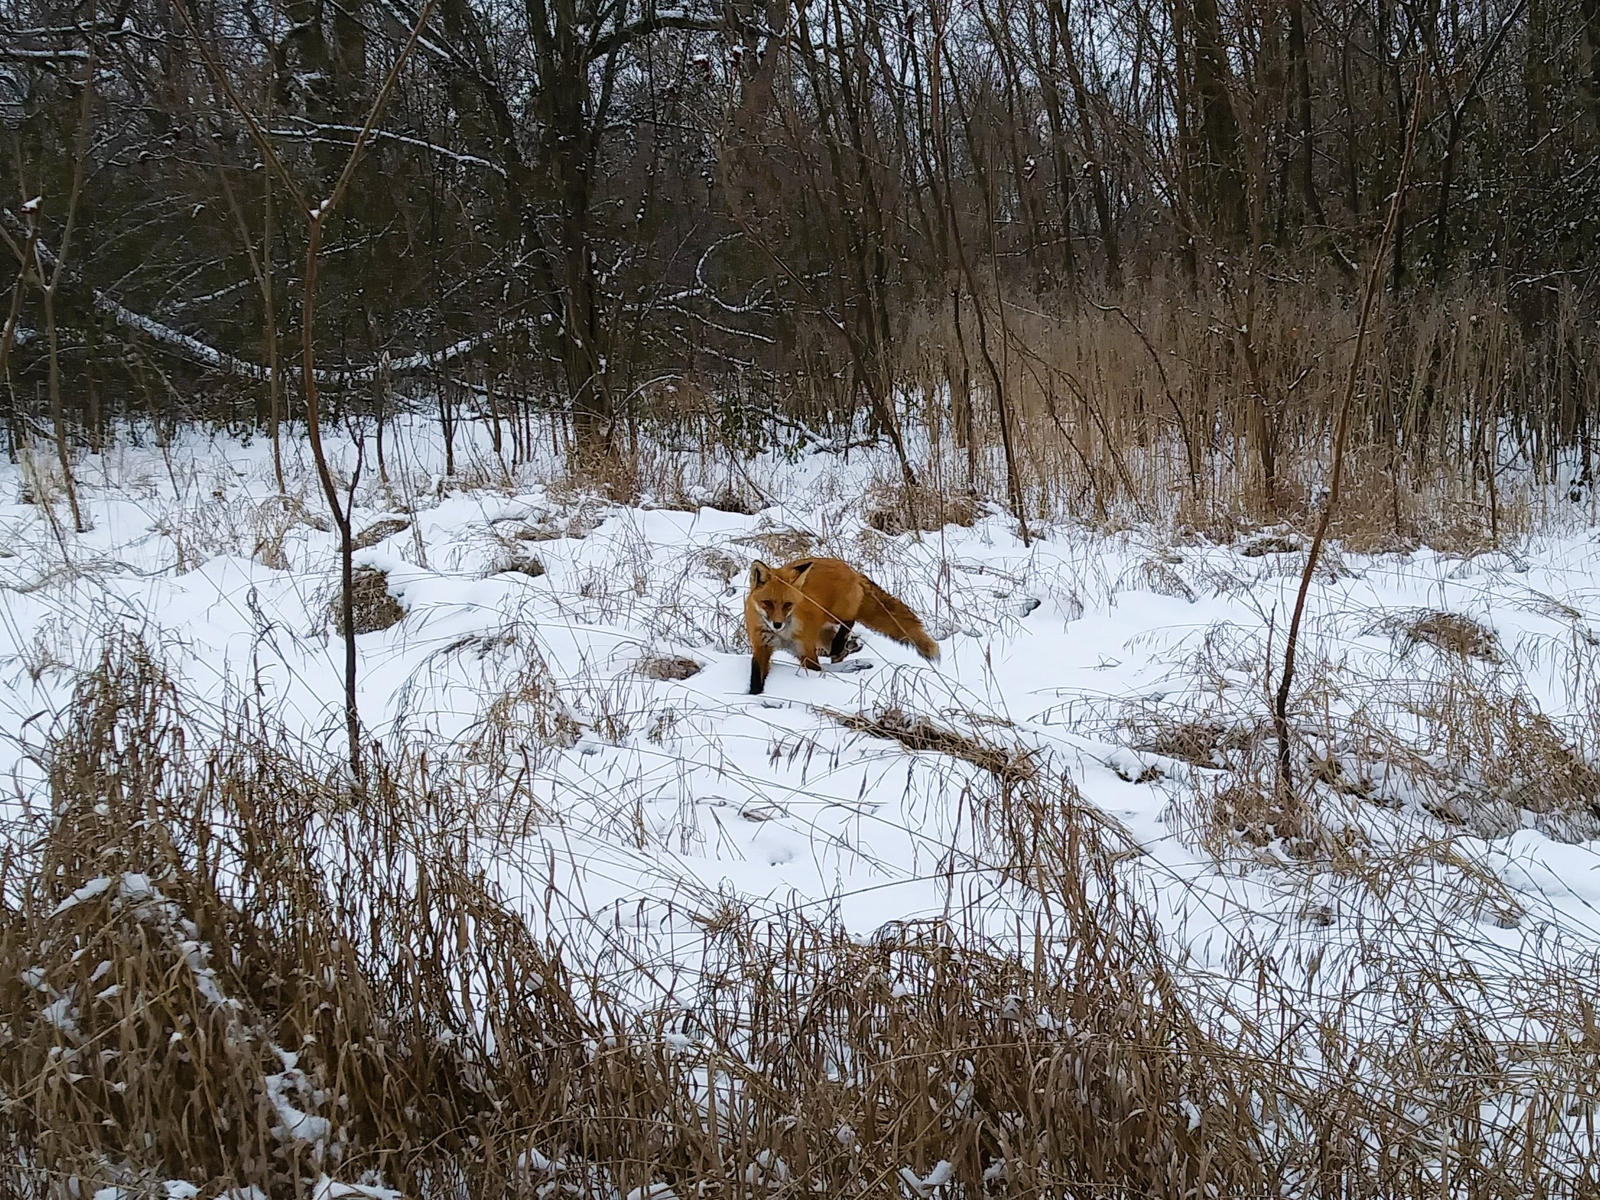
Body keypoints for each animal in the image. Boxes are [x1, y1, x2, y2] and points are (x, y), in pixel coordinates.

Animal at [744, 556, 940, 695]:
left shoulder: (805, 651)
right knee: (839, 644)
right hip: (822, 634)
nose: (777, 624)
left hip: (835, 616)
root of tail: (851, 569)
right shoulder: (761, 647)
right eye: (767, 603)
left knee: (849, 621)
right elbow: (756, 676)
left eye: (787, 605)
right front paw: (754, 695)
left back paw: (841, 645)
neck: (782, 636)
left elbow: (816, 670)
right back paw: (846, 649)